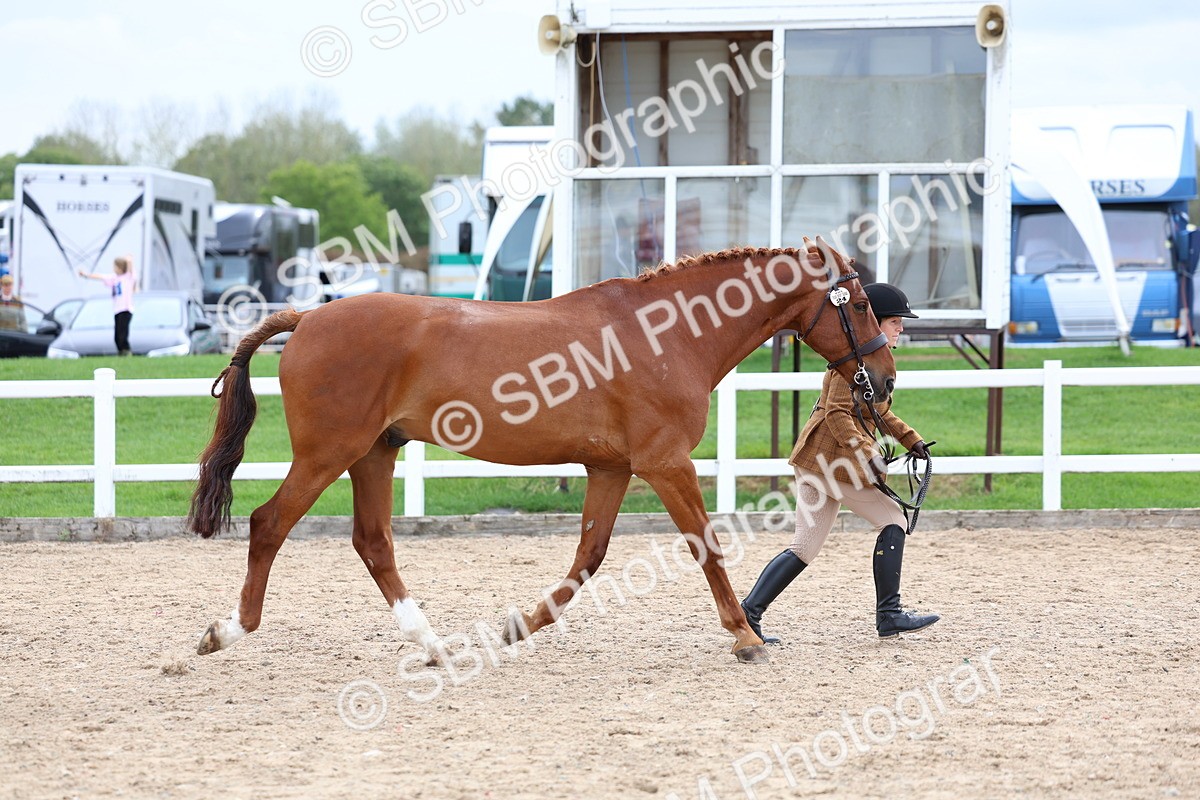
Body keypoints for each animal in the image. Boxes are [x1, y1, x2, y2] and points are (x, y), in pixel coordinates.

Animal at [188, 236, 896, 665]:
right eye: (860, 303)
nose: (884, 380)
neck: (667, 334)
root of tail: (307, 318)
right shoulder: (666, 464)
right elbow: (706, 547)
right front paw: (746, 638)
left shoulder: (612, 468)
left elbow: (589, 557)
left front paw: (517, 626)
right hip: (329, 453)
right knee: (269, 524)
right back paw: (226, 630)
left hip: (374, 454)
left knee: (373, 542)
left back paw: (434, 644)